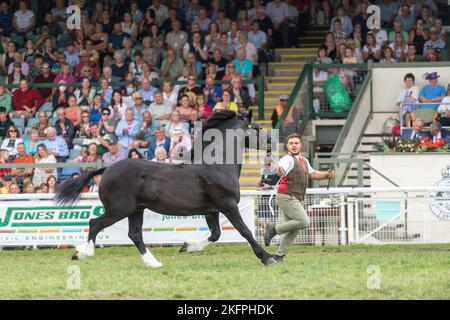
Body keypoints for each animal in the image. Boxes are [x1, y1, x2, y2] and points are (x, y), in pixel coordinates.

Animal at [54, 110, 276, 268]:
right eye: (256, 127)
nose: (271, 142)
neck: (217, 165)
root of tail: (107, 168)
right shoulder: (228, 205)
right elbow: (245, 232)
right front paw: (269, 258)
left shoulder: (212, 210)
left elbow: (216, 234)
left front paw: (187, 247)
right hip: (119, 209)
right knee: (95, 223)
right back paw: (82, 253)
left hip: (136, 210)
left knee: (135, 235)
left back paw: (153, 263)